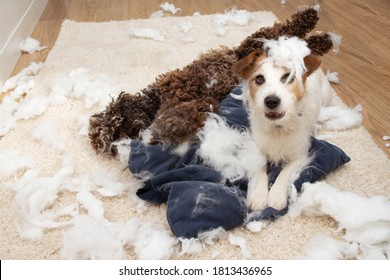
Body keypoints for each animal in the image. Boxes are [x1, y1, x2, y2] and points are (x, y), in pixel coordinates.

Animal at [233, 37, 334, 212]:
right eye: (259, 79)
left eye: (289, 78)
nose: (272, 101)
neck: (277, 128)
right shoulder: (257, 148)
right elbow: (260, 168)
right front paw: (258, 195)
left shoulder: (300, 155)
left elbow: (284, 174)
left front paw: (276, 195)